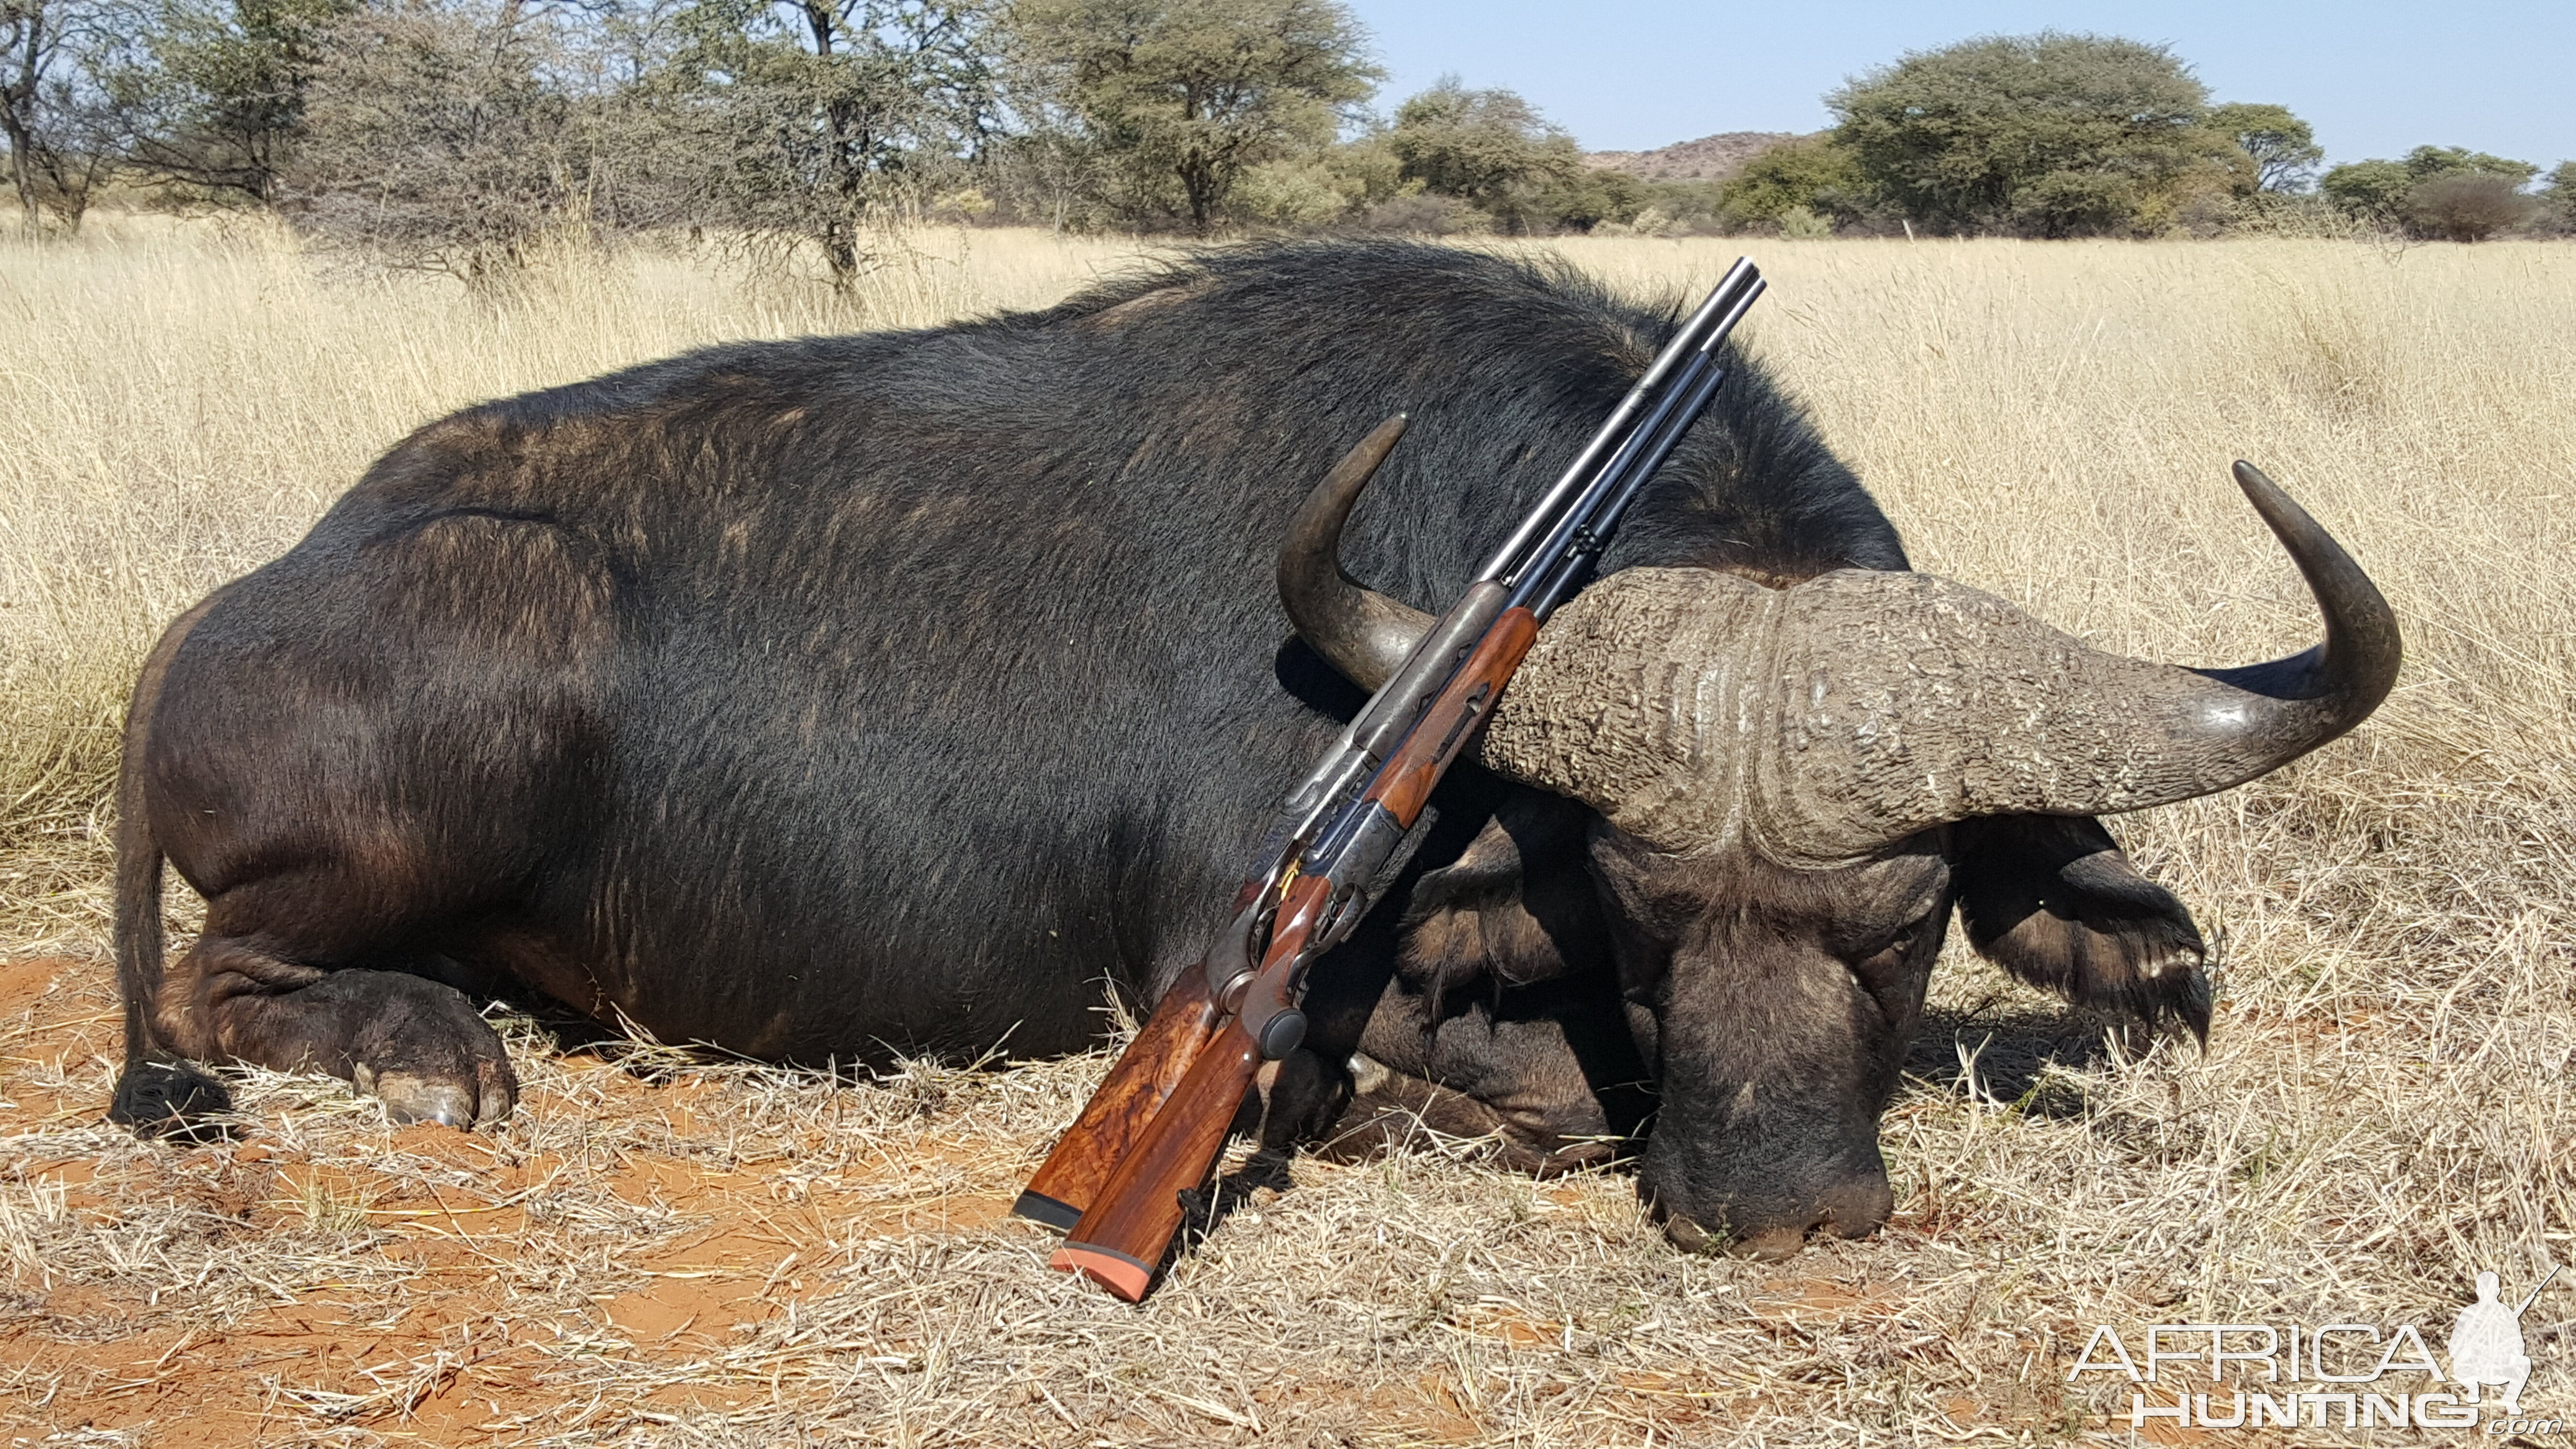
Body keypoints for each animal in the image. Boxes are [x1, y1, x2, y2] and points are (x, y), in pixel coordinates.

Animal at [100, 237, 2390, 1253]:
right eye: (1639, 904)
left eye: (1906, 919)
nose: (1775, 1206)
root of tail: (237, 601)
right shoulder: (1223, 970)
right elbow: (1532, 1088)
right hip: (468, 700)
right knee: (224, 976)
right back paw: (432, 1047)